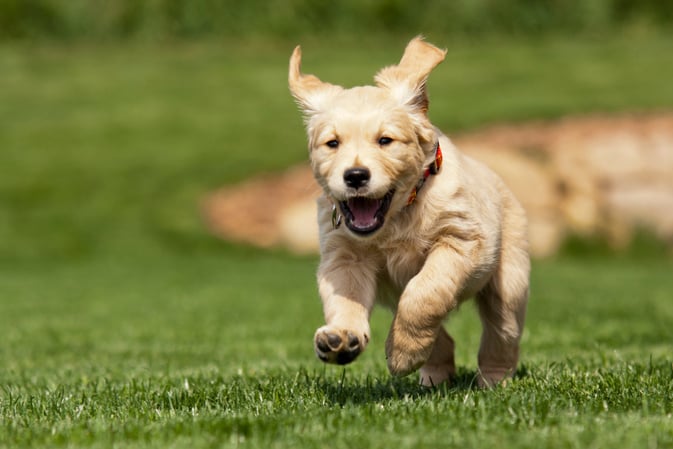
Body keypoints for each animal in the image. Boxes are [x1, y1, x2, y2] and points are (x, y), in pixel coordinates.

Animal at [288, 36, 532, 384]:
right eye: (332, 143)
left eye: (385, 140)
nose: (355, 176)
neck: (398, 215)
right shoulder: (344, 257)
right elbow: (347, 299)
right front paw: (341, 338)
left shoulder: (461, 240)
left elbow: (424, 292)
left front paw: (402, 354)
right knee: (442, 338)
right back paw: (433, 376)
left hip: (508, 280)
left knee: (502, 332)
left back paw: (493, 381)